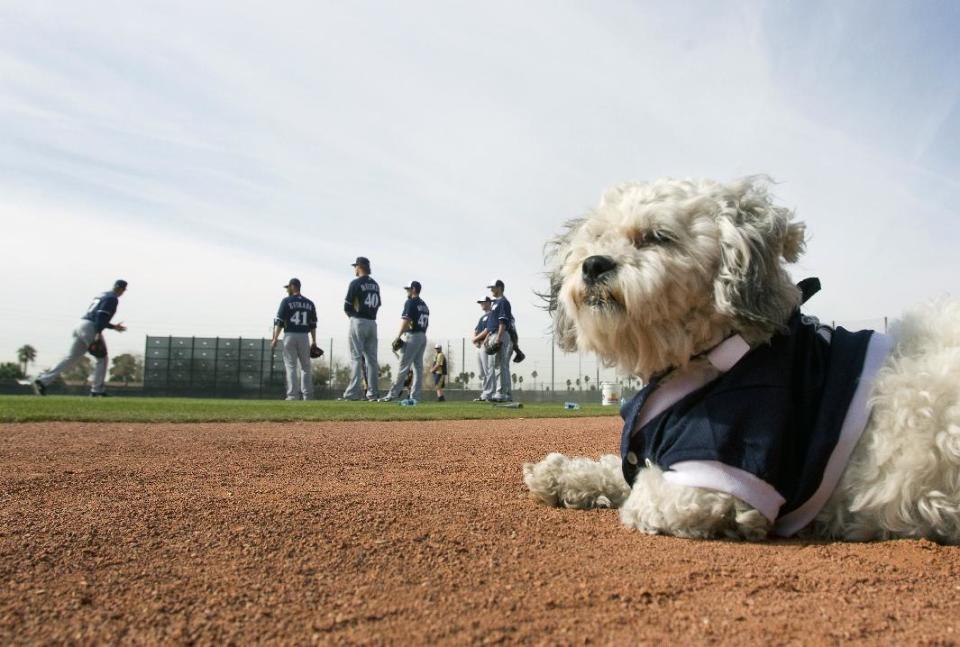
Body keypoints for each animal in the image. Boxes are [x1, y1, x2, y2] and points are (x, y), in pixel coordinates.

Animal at [524, 176, 960, 540]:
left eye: (657, 236)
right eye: (597, 237)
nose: (593, 263)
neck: (713, 351)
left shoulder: (717, 476)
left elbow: (640, 491)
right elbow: (617, 467)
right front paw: (561, 475)